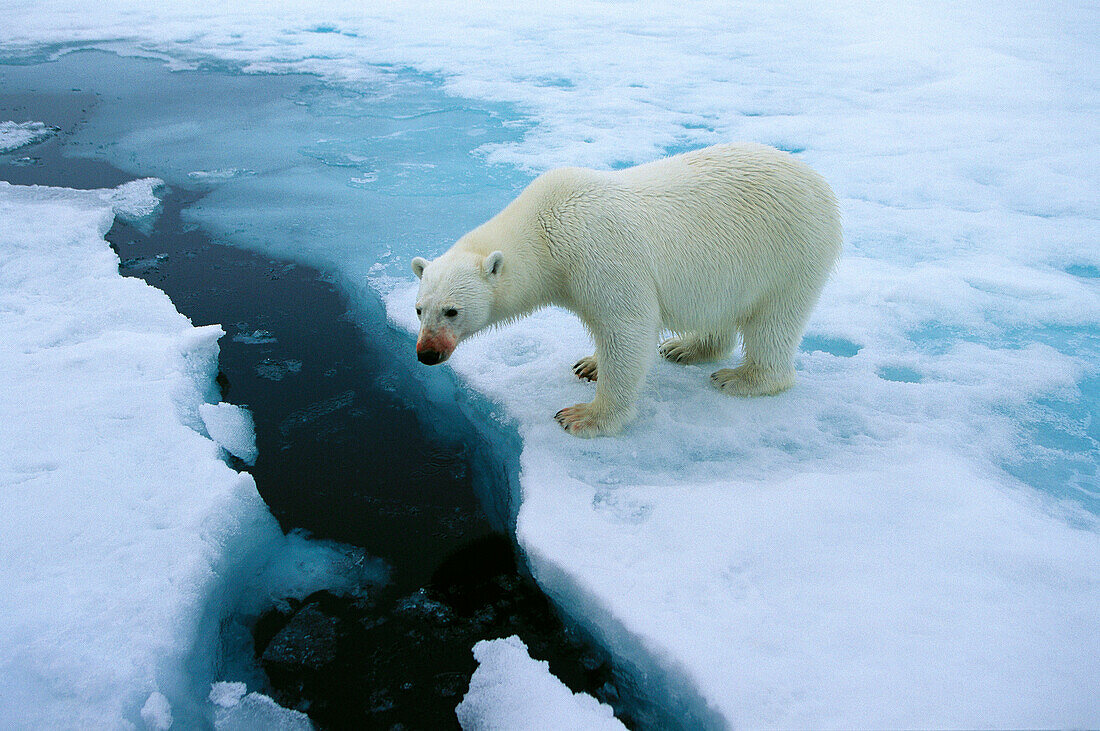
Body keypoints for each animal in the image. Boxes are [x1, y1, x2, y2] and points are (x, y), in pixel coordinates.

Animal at [413, 145, 840, 435]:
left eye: (452, 310)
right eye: (419, 309)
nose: (426, 353)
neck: (544, 229)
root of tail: (819, 181)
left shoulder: (597, 254)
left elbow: (628, 326)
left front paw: (584, 416)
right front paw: (589, 364)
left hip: (790, 253)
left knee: (775, 320)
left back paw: (741, 378)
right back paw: (685, 347)